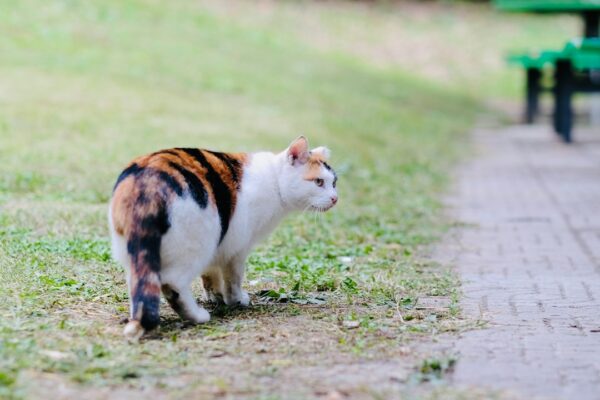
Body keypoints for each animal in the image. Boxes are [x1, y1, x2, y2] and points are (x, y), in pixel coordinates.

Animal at [109, 136, 338, 340]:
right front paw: (236, 300)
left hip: (138, 256)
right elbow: (233, 278)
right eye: (319, 182)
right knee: (173, 283)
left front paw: (215, 296)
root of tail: (147, 185)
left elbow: (211, 275)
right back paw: (197, 316)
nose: (335, 198)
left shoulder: (220, 245)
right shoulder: (238, 248)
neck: (274, 182)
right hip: (197, 243)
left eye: (334, 182)